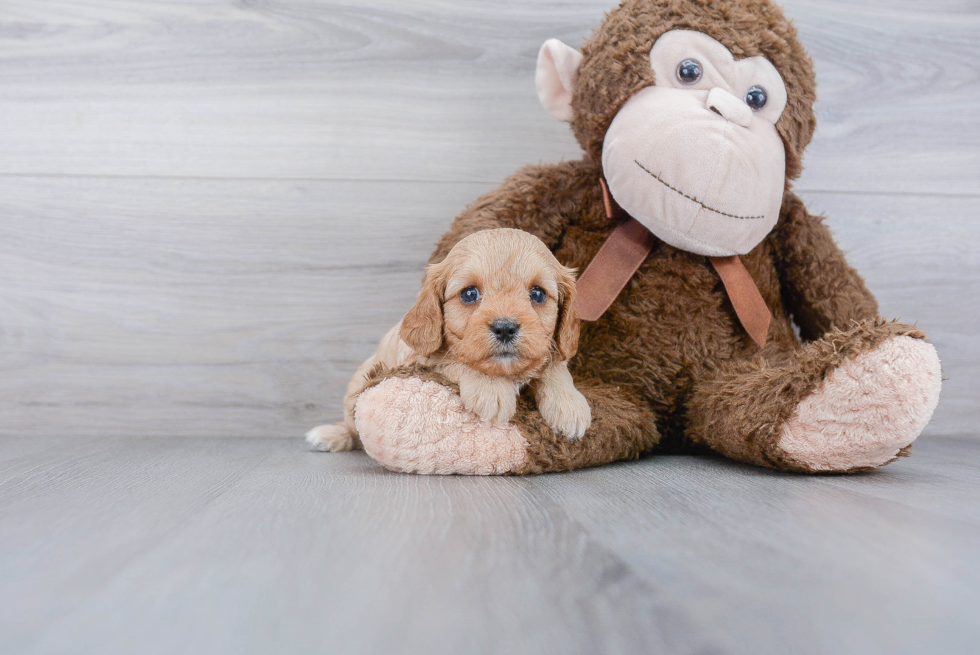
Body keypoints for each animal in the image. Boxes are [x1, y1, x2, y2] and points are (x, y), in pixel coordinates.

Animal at [310, 228, 592, 454]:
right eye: (469, 294)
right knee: (353, 428)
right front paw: (491, 388)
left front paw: (570, 406)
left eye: (537, 294)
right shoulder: (421, 360)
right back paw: (330, 435)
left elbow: (554, 367)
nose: (505, 328)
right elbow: (454, 359)